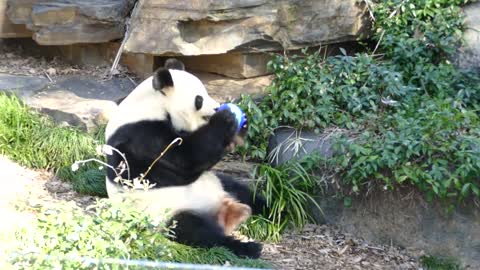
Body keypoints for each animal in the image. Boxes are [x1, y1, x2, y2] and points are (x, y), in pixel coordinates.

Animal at [104, 58, 266, 258]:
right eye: (199, 99)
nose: (216, 107)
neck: (151, 104)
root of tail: (225, 213)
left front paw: (240, 126)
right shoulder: (141, 136)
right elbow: (186, 158)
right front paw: (226, 119)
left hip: (219, 184)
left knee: (244, 192)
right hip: (166, 213)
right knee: (196, 231)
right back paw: (248, 247)